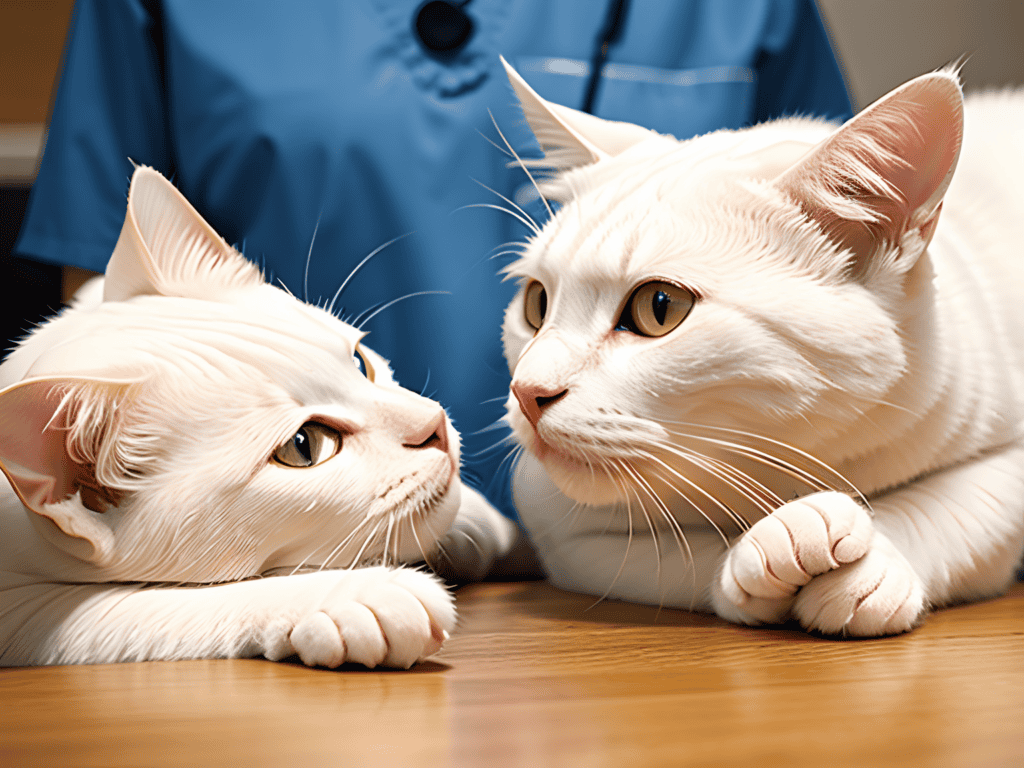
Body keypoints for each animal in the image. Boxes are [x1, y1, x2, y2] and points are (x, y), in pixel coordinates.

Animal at [0, 166, 512, 667]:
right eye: (304, 446)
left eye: (360, 362)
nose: (435, 424)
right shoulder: (23, 614)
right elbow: (152, 605)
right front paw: (359, 594)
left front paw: (483, 522)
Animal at [501, 60, 1024, 634]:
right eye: (536, 303)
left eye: (659, 307)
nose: (527, 392)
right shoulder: (550, 515)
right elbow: (667, 553)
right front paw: (762, 551)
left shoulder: (1005, 450)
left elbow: (949, 503)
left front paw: (877, 565)